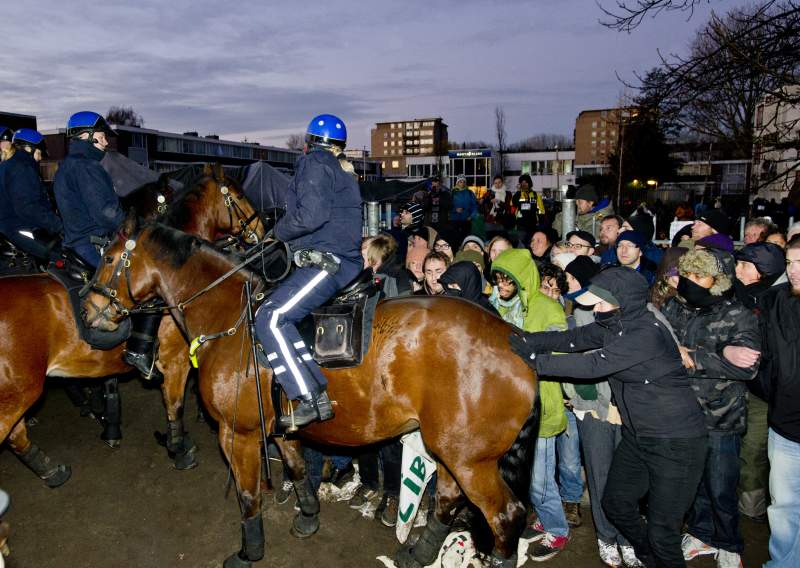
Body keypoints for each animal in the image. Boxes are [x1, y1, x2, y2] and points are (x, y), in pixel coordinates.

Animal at [0, 166, 266, 486]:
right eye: (239, 195)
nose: (262, 228)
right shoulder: (176, 362)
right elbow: (174, 405)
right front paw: (179, 448)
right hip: (16, 394)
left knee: (17, 435)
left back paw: (51, 468)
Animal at [84, 219, 540, 568]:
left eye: (108, 259)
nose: (89, 311)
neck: (230, 316)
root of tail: (517, 343)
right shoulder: (280, 428)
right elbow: (299, 468)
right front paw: (307, 517)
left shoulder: (238, 435)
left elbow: (248, 496)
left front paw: (249, 552)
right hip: (450, 451)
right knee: (447, 502)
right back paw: (417, 555)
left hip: (471, 462)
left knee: (505, 517)